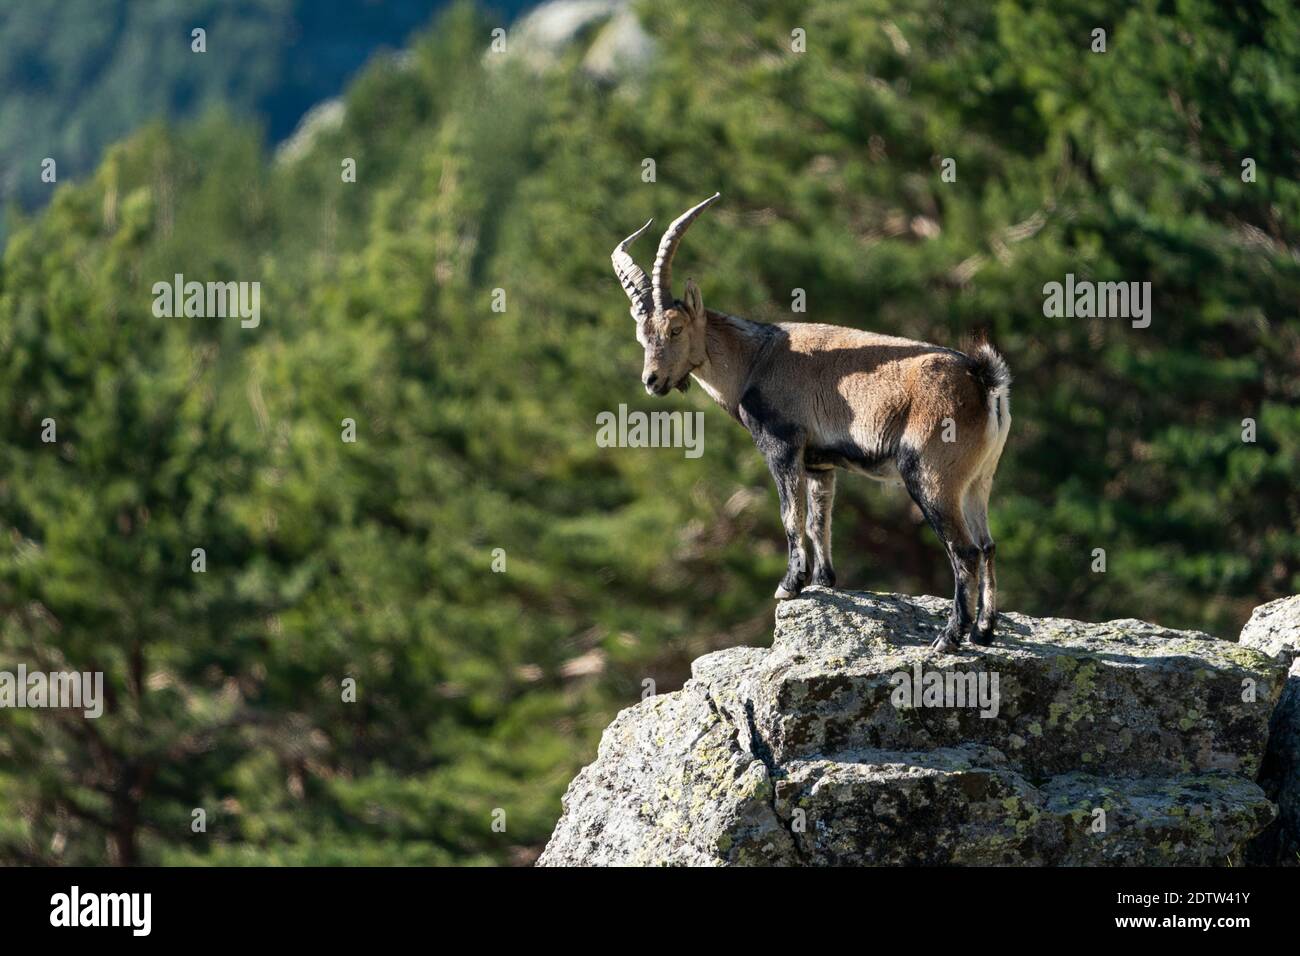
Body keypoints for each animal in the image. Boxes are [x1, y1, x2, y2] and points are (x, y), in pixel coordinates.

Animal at [611, 194, 1012, 652]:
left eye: (675, 329)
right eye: (641, 336)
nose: (652, 380)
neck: (755, 359)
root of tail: (982, 380)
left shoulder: (782, 445)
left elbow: (790, 514)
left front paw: (790, 585)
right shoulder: (820, 462)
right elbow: (819, 519)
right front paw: (824, 581)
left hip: (931, 476)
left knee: (964, 550)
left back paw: (949, 637)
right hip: (978, 478)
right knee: (988, 545)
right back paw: (983, 631)